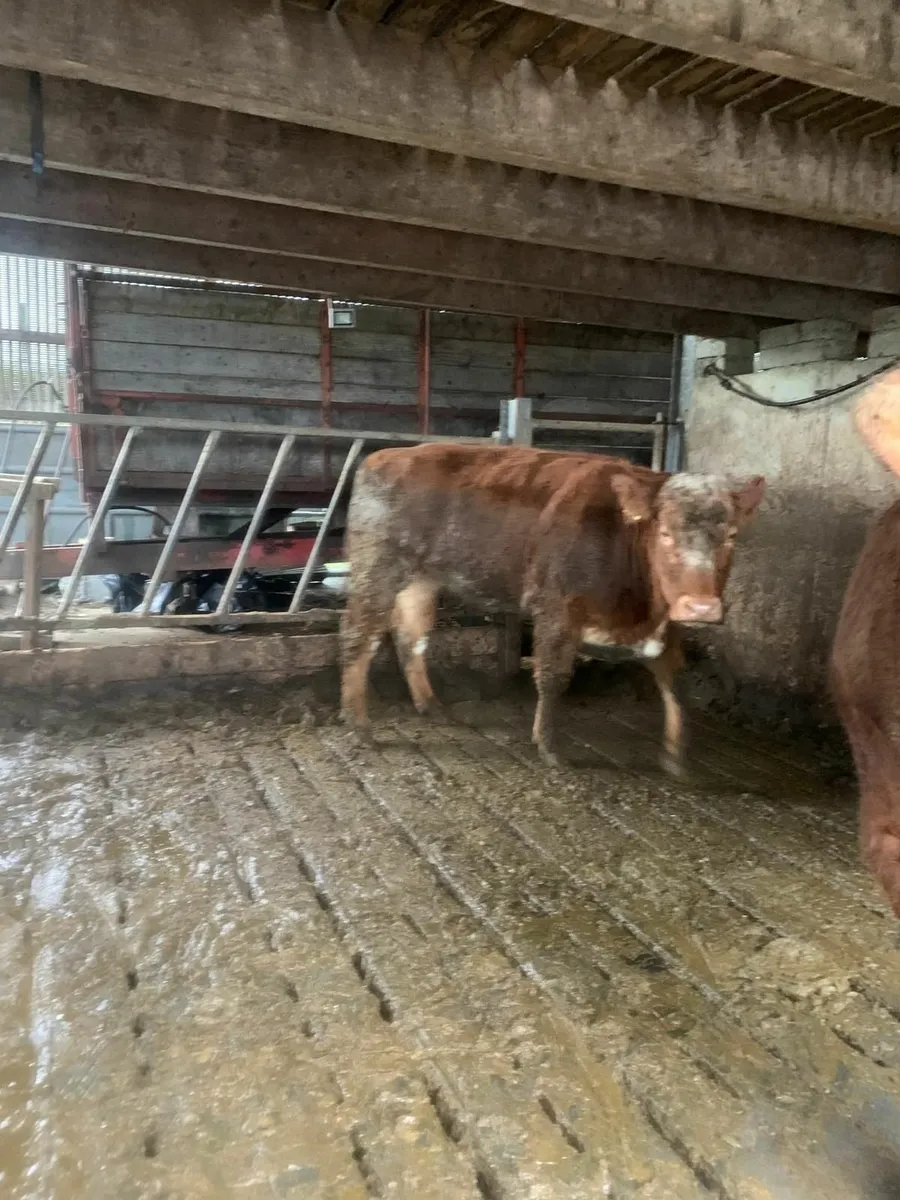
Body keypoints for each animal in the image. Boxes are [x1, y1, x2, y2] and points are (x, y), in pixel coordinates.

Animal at [340, 443, 765, 771]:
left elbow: (674, 681)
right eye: (664, 533)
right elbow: (553, 676)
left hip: (421, 580)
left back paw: (431, 706)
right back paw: (358, 725)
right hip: (375, 570)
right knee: (358, 637)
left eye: (731, 536)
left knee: (411, 637)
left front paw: (676, 755)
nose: (700, 607)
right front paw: (547, 746)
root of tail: (383, 456)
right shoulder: (556, 609)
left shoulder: (663, 624)